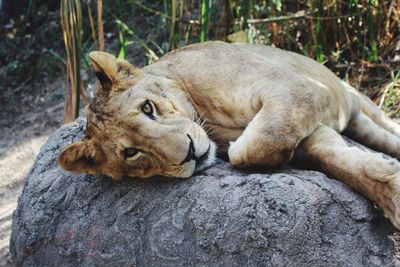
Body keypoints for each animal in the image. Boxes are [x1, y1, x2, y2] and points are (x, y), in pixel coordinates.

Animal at [58, 42, 400, 230]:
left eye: (147, 108)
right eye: (131, 153)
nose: (189, 153)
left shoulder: (296, 88)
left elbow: (255, 143)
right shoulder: (308, 131)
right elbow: (346, 166)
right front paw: (391, 192)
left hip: (355, 96)